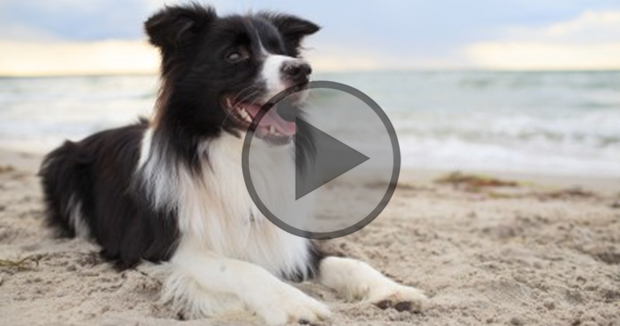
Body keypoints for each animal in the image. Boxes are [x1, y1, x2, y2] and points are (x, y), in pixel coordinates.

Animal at [38, 3, 426, 324]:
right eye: (235, 55)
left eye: (281, 51)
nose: (302, 70)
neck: (238, 154)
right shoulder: (162, 248)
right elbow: (240, 267)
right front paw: (294, 303)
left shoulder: (291, 240)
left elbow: (345, 261)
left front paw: (393, 289)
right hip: (61, 164)